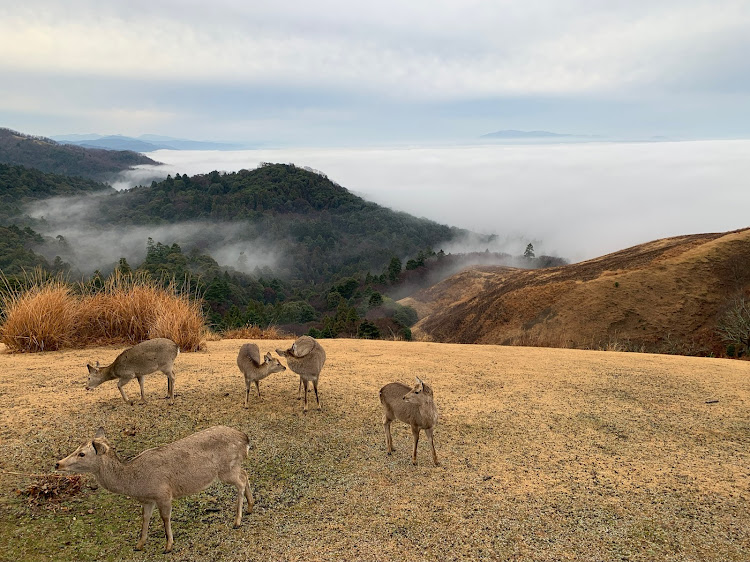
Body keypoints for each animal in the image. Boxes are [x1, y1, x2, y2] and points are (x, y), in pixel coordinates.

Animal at [55, 424, 254, 552]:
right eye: (76, 448)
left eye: (81, 453)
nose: (58, 463)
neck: (135, 483)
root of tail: (245, 439)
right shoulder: (147, 500)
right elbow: (145, 518)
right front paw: (139, 545)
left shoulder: (163, 493)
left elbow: (165, 518)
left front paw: (168, 546)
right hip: (232, 467)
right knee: (245, 474)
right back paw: (250, 508)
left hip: (226, 469)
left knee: (241, 480)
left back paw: (237, 521)